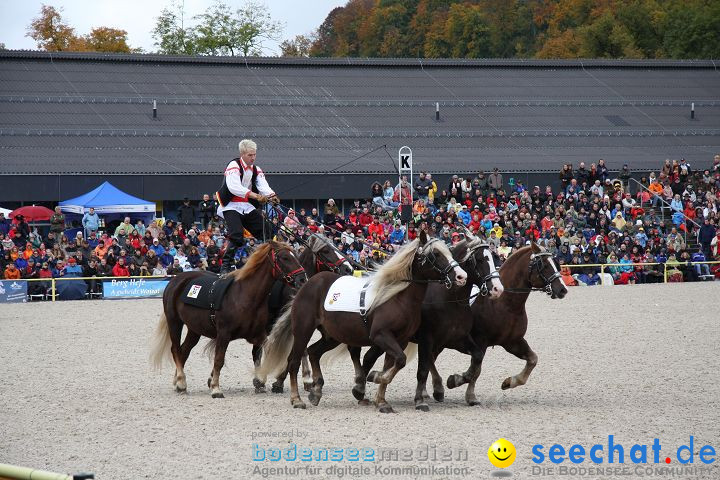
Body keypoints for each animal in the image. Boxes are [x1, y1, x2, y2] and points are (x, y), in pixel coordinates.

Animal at [150, 242, 308, 400]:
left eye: (295, 255)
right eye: (285, 257)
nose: (302, 279)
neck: (244, 296)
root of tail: (176, 280)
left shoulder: (259, 335)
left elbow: (267, 353)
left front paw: (261, 380)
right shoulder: (224, 334)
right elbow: (219, 360)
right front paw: (215, 388)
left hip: (194, 329)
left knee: (184, 351)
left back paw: (178, 382)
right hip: (175, 322)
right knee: (176, 349)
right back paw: (181, 382)